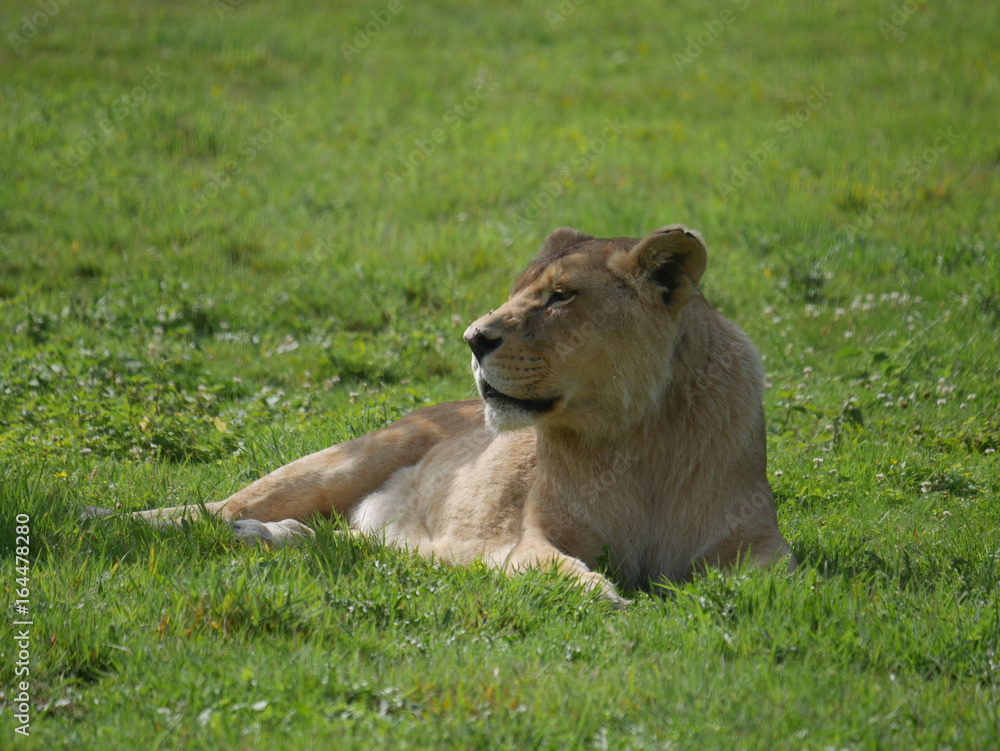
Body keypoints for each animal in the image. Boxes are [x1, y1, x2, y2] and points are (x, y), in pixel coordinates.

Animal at [99, 225, 795, 606]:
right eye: (517, 291)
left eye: (560, 297)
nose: (473, 338)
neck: (638, 435)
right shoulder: (532, 538)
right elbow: (558, 568)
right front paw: (608, 597)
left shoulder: (763, 544)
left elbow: (775, 579)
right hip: (340, 463)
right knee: (212, 509)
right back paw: (105, 523)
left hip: (368, 535)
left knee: (325, 541)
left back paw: (278, 539)